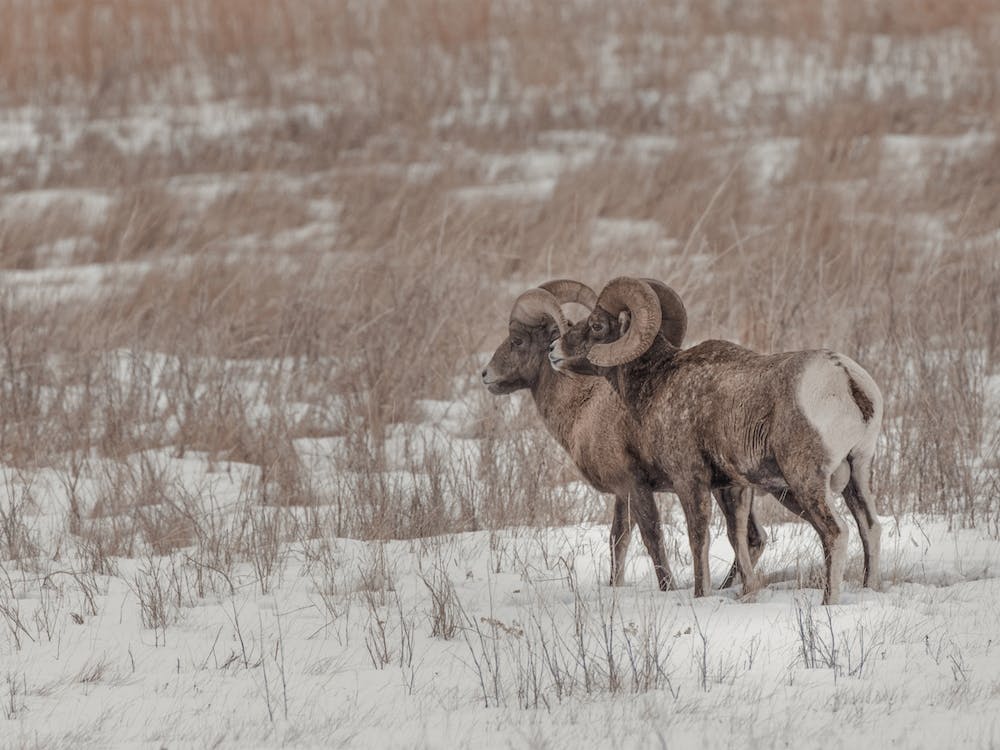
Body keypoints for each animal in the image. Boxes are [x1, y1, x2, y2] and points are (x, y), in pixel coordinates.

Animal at [481, 279, 767, 594]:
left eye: (517, 341)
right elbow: (617, 541)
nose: (486, 375)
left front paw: (668, 588)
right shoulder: (621, 493)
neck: (582, 406)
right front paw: (614, 586)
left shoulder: (635, 485)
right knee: (752, 538)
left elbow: (652, 539)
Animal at [549, 276, 883, 605]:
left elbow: (699, 537)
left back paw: (829, 601)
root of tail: (846, 379)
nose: (553, 350)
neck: (658, 384)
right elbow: (738, 537)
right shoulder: (731, 487)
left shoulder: (690, 479)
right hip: (858, 472)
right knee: (870, 527)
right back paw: (869, 589)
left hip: (806, 480)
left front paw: (701, 594)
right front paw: (748, 593)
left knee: (835, 533)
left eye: (596, 325)